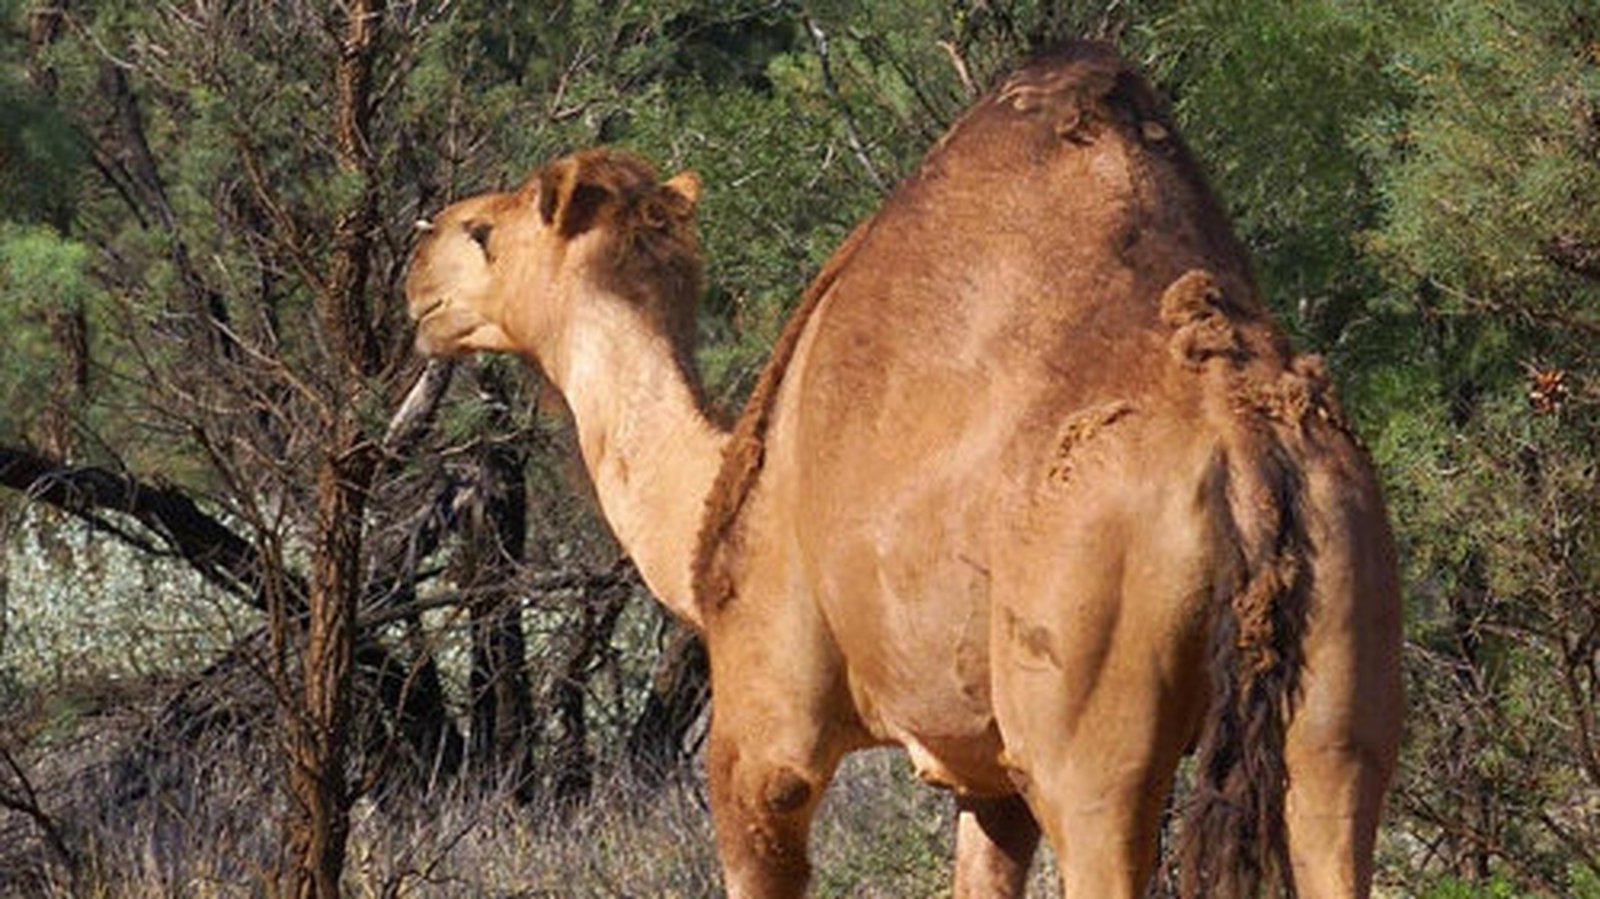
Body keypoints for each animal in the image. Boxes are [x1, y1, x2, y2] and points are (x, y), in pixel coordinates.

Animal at [409, 40, 1401, 889]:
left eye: (485, 232)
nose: (418, 263)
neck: (713, 500)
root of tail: (1246, 444)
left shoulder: (760, 739)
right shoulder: (984, 777)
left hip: (1092, 747)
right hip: (1339, 692)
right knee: (1336, 810)